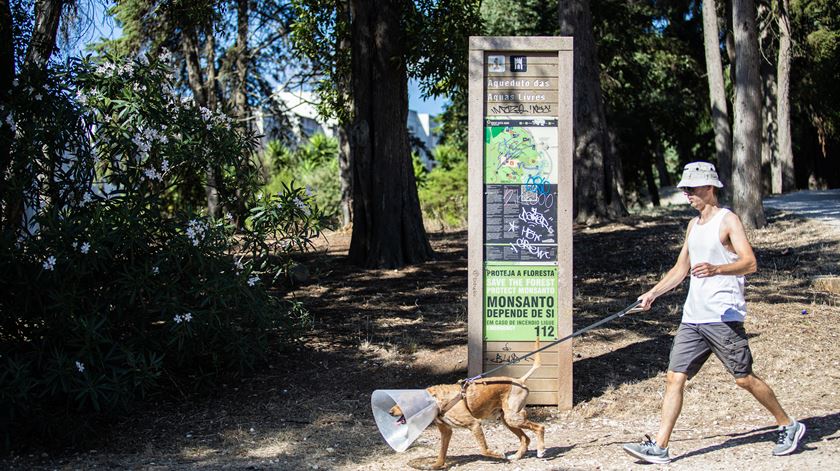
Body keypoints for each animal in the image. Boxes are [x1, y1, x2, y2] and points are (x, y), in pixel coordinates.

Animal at [388, 342, 544, 470]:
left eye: (402, 403)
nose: (389, 412)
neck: (435, 400)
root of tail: (519, 380)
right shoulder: (446, 431)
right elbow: (441, 453)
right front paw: (436, 465)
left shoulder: (474, 424)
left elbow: (483, 449)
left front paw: (497, 454)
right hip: (507, 420)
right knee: (525, 438)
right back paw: (517, 456)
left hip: (513, 418)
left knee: (540, 427)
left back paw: (541, 450)